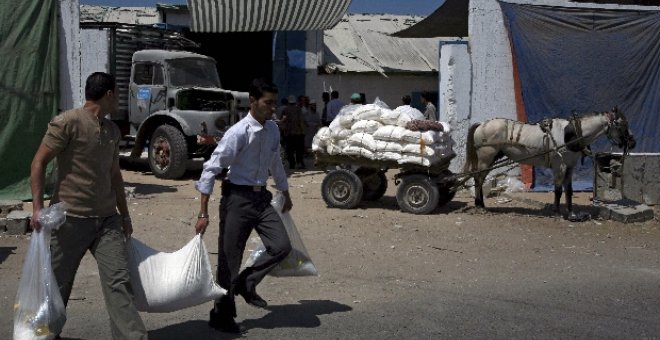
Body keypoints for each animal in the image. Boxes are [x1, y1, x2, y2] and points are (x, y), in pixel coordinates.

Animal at [464, 107, 636, 220]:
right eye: (621, 124)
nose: (632, 143)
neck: (571, 135)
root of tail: (481, 124)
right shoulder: (559, 166)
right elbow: (558, 190)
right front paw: (557, 212)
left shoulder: (570, 167)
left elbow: (569, 190)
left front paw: (571, 213)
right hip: (486, 158)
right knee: (478, 179)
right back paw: (479, 204)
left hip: (490, 159)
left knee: (479, 179)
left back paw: (481, 204)